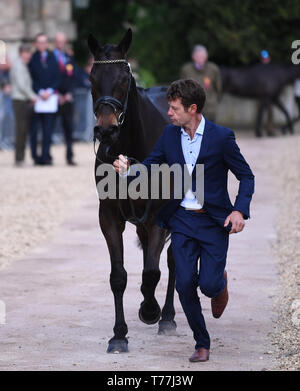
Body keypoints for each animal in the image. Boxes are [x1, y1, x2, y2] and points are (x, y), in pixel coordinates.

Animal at [86, 29, 177, 354]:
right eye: (92, 78)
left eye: (125, 78)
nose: (106, 130)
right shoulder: (110, 215)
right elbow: (119, 276)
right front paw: (119, 335)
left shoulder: (158, 214)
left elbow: (152, 271)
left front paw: (150, 310)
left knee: (172, 259)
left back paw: (167, 317)